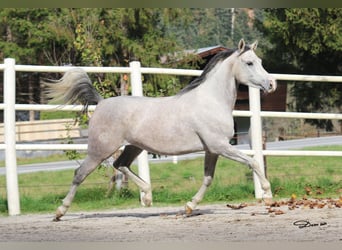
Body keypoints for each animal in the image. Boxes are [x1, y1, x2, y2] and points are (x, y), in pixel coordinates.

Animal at [46, 39, 276, 221]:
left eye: (261, 61)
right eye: (249, 62)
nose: (272, 84)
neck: (211, 101)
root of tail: (101, 103)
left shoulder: (212, 150)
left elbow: (208, 178)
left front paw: (189, 206)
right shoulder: (220, 146)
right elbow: (253, 162)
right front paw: (268, 196)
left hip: (133, 147)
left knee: (120, 164)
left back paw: (147, 196)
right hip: (99, 150)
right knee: (80, 174)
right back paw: (59, 212)